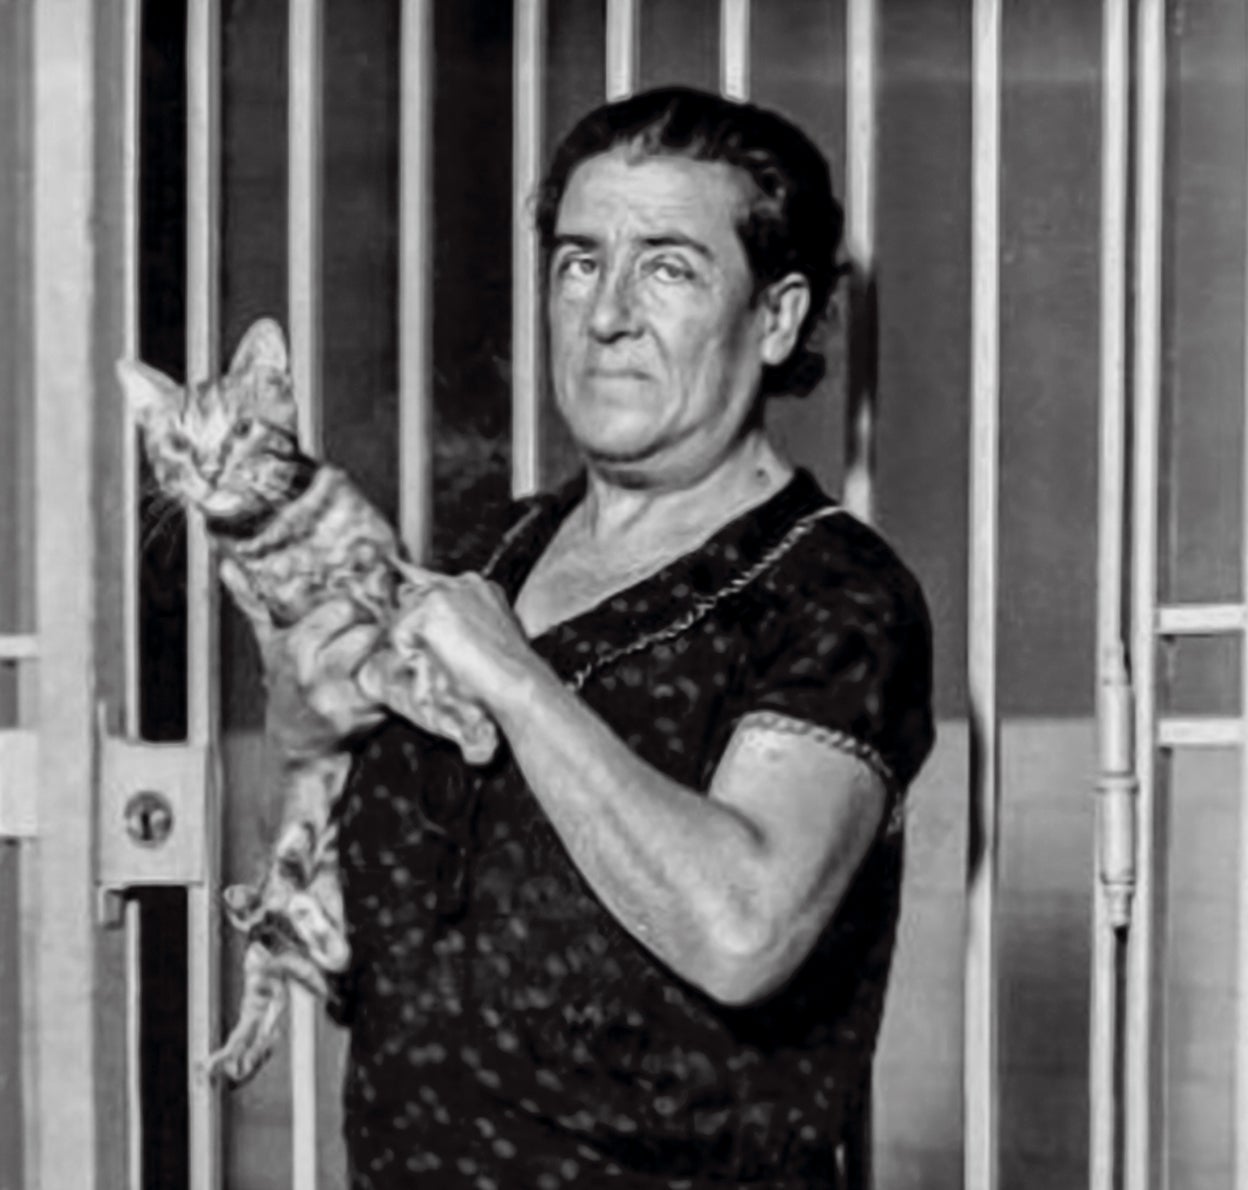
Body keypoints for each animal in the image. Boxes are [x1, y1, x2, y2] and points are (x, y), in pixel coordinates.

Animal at [117, 316, 498, 1085]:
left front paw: (461, 706)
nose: (208, 470)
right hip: (298, 838)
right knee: (274, 954)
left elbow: (413, 649)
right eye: (178, 444)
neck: (279, 532)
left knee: (315, 950)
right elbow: (392, 674)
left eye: (240, 429)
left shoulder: (383, 585)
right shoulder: (322, 627)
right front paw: (457, 716)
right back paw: (239, 1019)